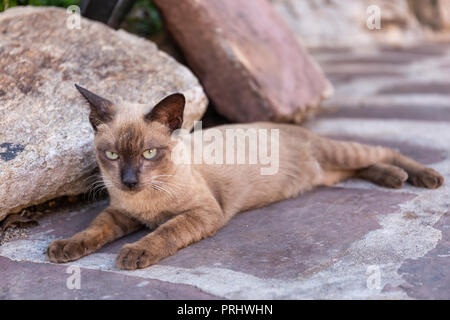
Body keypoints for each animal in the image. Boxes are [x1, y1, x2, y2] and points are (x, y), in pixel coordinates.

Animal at [46, 85, 442, 270]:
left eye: (148, 154)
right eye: (112, 155)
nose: (128, 181)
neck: (143, 201)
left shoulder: (205, 212)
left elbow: (164, 231)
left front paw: (134, 253)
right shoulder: (119, 214)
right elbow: (93, 229)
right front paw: (64, 248)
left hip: (340, 153)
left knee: (381, 150)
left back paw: (423, 177)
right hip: (329, 173)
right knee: (360, 168)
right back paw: (393, 178)